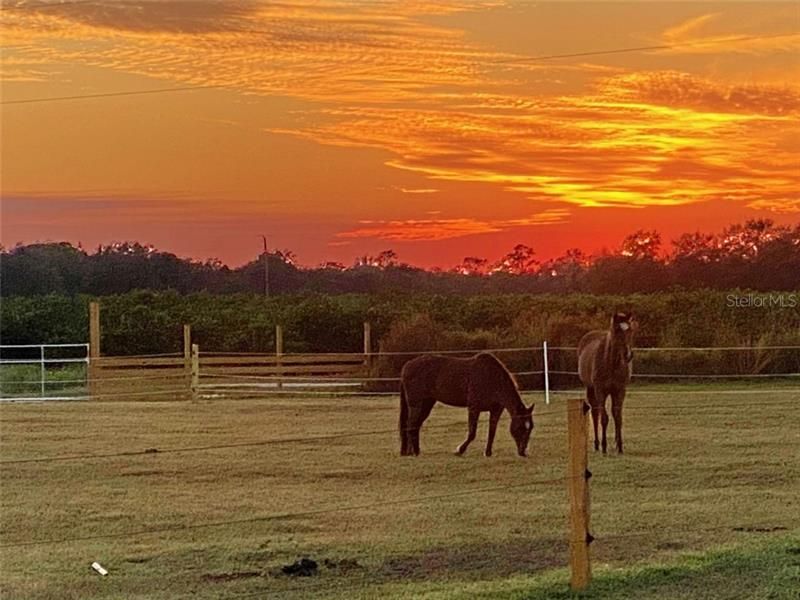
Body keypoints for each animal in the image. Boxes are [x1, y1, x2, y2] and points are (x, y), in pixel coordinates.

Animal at [398, 354, 536, 458]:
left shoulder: (496, 411)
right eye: (521, 427)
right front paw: (459, 450)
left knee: (414, 425)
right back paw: (415, 452)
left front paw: (488, 452)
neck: (491, 378)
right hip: (416, 404)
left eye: (530, 428)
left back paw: (411, 451)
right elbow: (472, 433)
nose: (523, 452)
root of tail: (407, 366)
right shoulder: (474, 408)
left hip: (426, 404)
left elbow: (492, 432)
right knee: (411, 424)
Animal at [580, 314, 636, 454]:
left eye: (630, 331)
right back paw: (597, 445)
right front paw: (604, 447)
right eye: (616, 331)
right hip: (590, 389)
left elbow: (618, 417)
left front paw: (620, 446)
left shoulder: (620, 390)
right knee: (595, 413)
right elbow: (604, 418)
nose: (628, 355)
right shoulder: (600, 391)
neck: (612, 364)